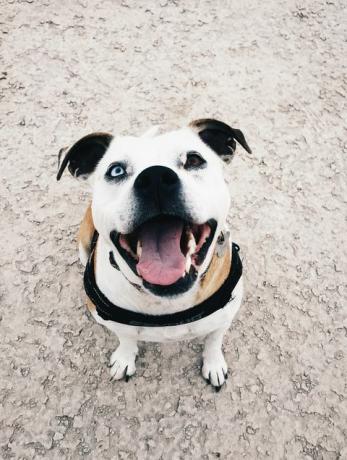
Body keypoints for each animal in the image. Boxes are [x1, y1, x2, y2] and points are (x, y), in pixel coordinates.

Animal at [57, 117, 253, 388]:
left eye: (194, 160)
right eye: (116, 171)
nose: (155, 177)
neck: (167, 301)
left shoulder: (225, 316)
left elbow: (214, 340)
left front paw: (214, 364)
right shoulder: (113, 322)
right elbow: (126, 337)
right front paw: (124, 358)